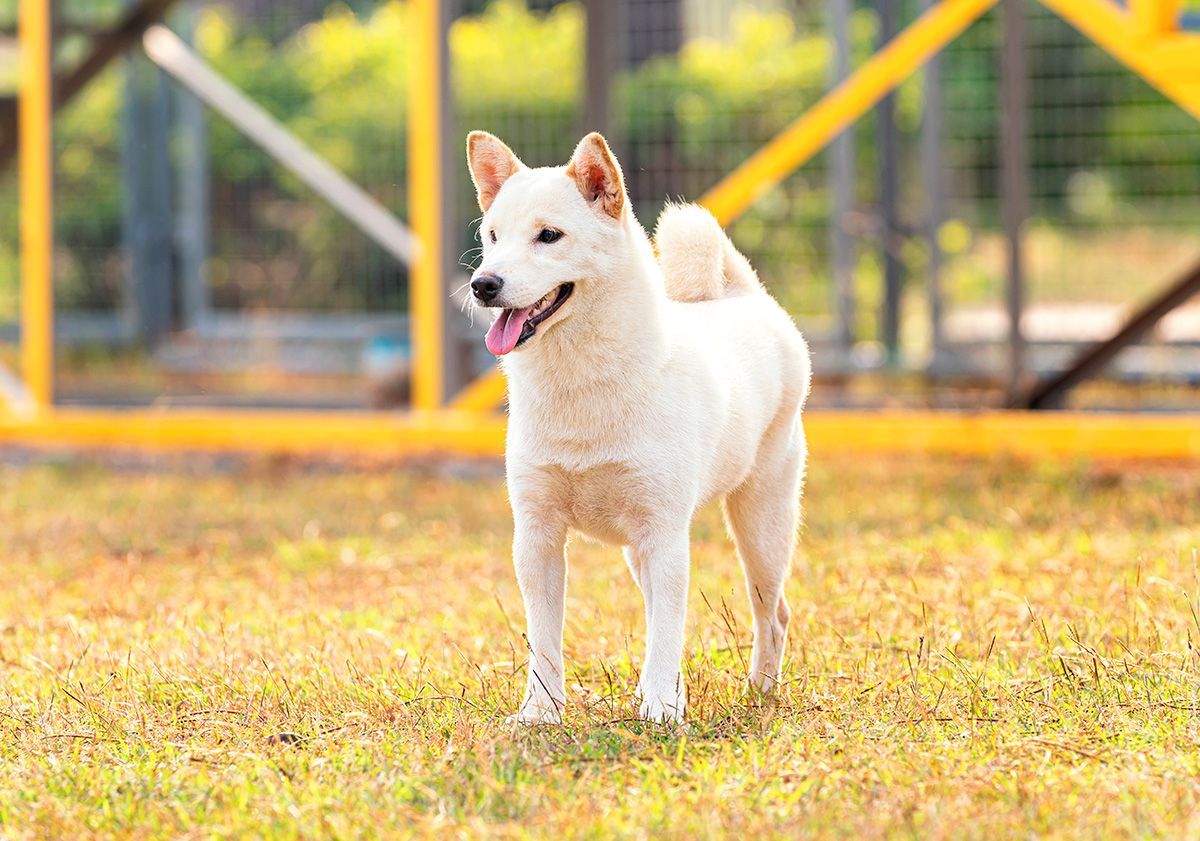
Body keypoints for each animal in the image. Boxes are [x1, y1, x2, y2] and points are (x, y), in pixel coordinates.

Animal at [463, 131, 811, 719]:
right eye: (492, 236)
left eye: (548, 236)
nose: (483, 283)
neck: (581, 388)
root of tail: (747, 298)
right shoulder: (536, 535)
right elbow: (545, 639)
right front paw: (541, 712)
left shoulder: (665, 532)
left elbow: (668, 631)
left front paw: (660, 712)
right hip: (637, 550)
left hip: (760, 522)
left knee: (773, 613)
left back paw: (760, 690)